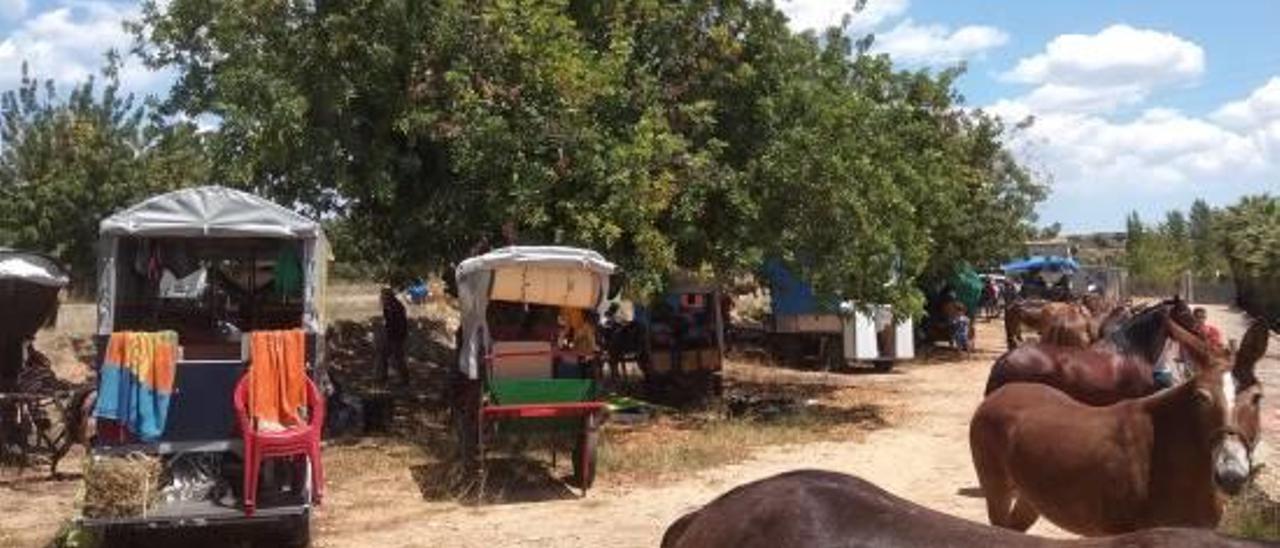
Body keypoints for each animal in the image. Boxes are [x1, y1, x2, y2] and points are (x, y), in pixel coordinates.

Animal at [972, 316, 1264, 535]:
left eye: (1257, 398)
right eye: (1201, 397)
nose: (1231, 475)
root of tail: (1001, 393)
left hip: (1030, 497)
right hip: (997, 492)